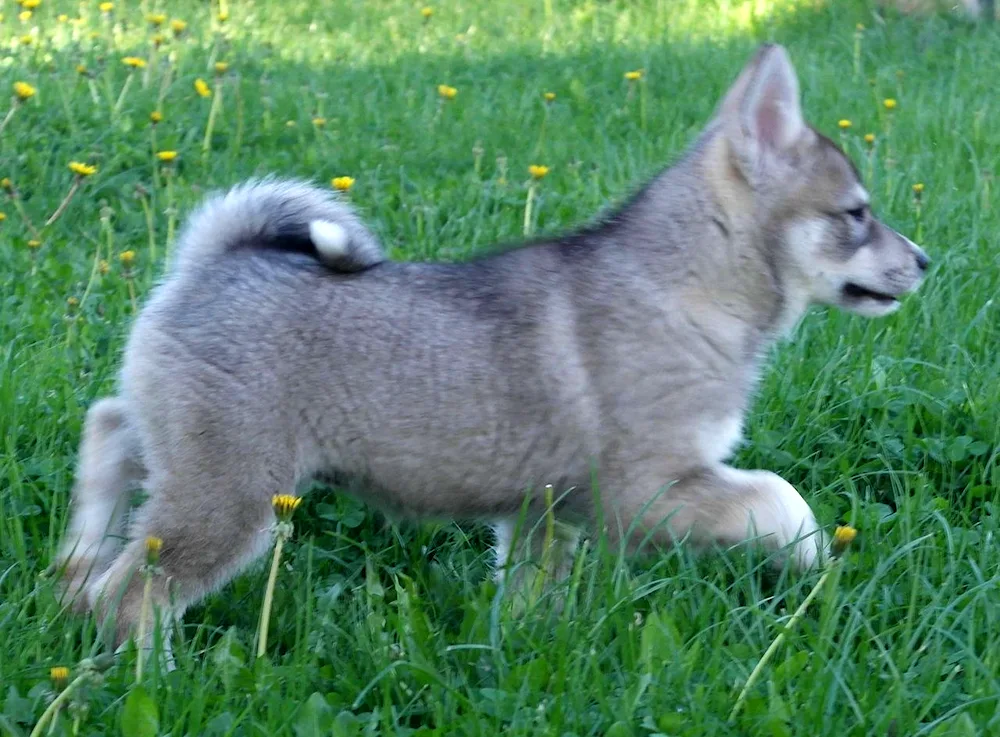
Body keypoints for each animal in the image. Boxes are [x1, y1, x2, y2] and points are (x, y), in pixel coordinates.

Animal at [56, 44, 928, 644]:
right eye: (856, 213)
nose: (925, 261)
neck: (687, 285)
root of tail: (219, 256)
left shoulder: (542, 512)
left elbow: (532, 595)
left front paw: (527, 654)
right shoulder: (646, 492)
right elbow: (778, 495)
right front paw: (813, 557)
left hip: (185, 444)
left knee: (108, 427)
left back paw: (76, 556)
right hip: (230, 491)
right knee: (134, 593)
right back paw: (150, 667)